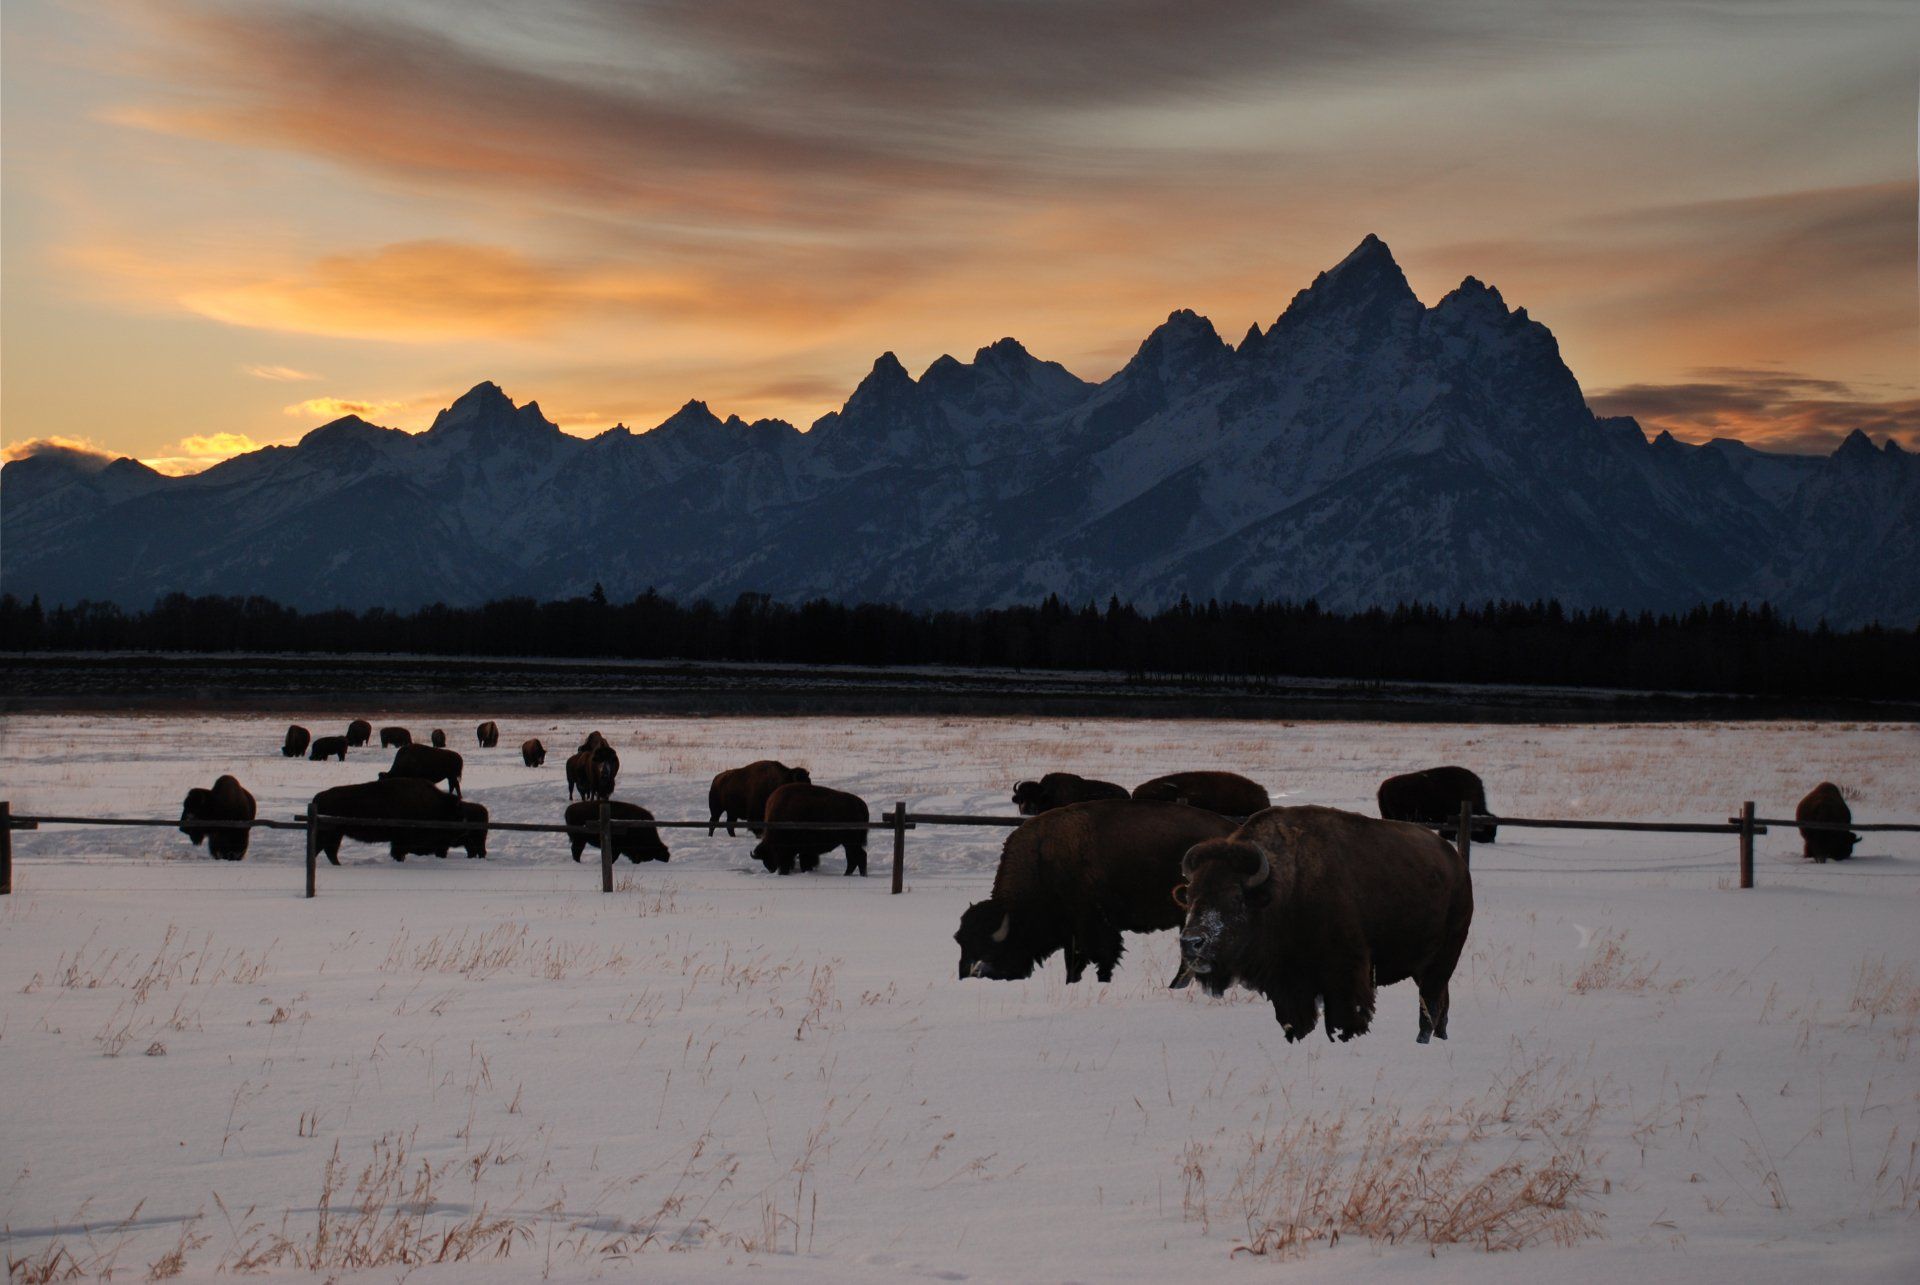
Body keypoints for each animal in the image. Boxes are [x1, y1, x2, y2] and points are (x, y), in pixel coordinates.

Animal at [309, 778, 483, 863]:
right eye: (456, 814)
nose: (465, 831)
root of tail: (319, 797)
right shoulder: (401, 841)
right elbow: (399, 853)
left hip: (336, 834)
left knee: (328, 851)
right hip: (331, 834)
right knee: (325, 850)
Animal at [956, 800, 1236, 984]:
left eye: (990, 950)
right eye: (960, 942)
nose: (969, 976)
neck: (1042, 859)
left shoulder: (1092, 927)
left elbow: (1098, 959)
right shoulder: (1073, 933)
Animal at [1174, 805, 1473, 1045]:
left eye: (1236, 897)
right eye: (1190, 896)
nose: (1191, 942)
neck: (1281, 890)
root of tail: (1457, 865)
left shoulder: (1345, 977)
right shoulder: (1290, 985)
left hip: (1443, 958)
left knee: (1429, 1003)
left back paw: (1423, 1040)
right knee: (1441, 1003)